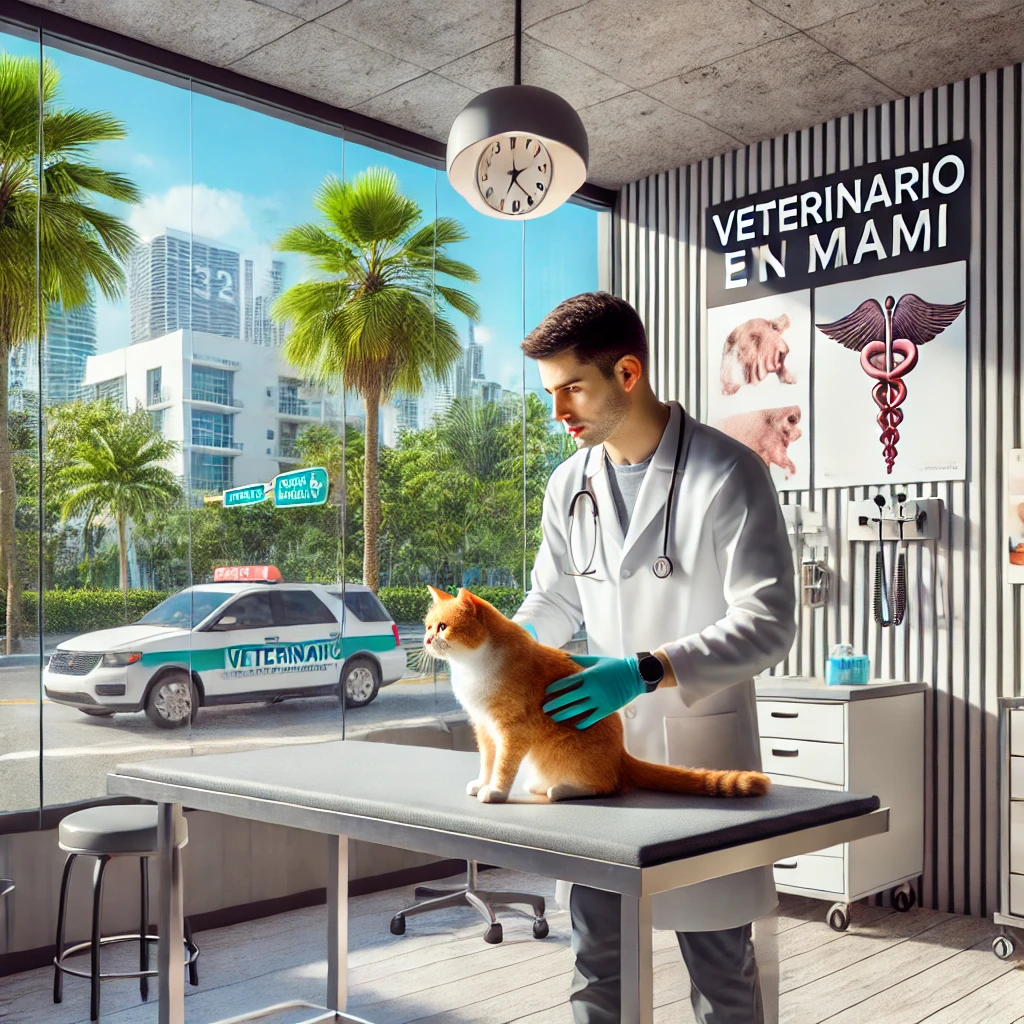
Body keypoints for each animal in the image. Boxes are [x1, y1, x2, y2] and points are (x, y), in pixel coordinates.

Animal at [423, 589, 770, 802]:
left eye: (442, 627)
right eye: (427, 626)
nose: (425, 640)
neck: (472, 667)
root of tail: (621, 756)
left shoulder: (512, 730)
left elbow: (504, 765)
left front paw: (495, 791)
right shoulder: (484, 728)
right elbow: (487, 761)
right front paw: (482, 783)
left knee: (607, 786)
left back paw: (561, 790)